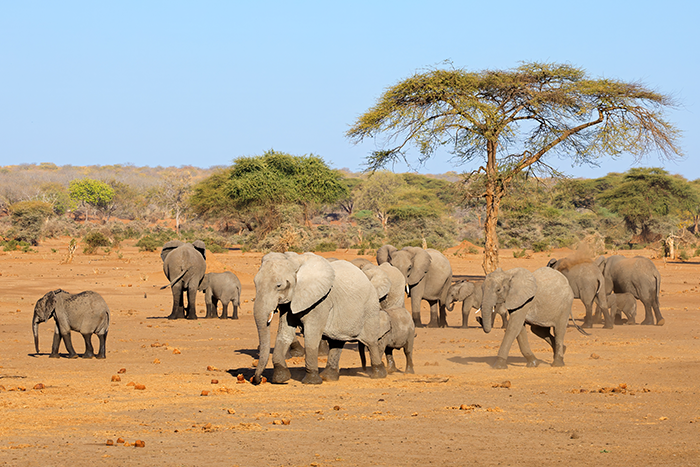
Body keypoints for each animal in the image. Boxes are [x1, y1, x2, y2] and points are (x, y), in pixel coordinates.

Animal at [252, 252, 390, 385]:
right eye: (255, 283)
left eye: (279, 285)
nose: (258, 379)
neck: (295, 262)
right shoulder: (290, 303)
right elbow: (284, 334)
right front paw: (280, 379)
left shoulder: (321, 302)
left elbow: (311, 336)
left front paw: (311, 382)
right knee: (337, 343)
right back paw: (329, 377)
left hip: (370, 307)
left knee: (371, 342)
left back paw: (379, 375)